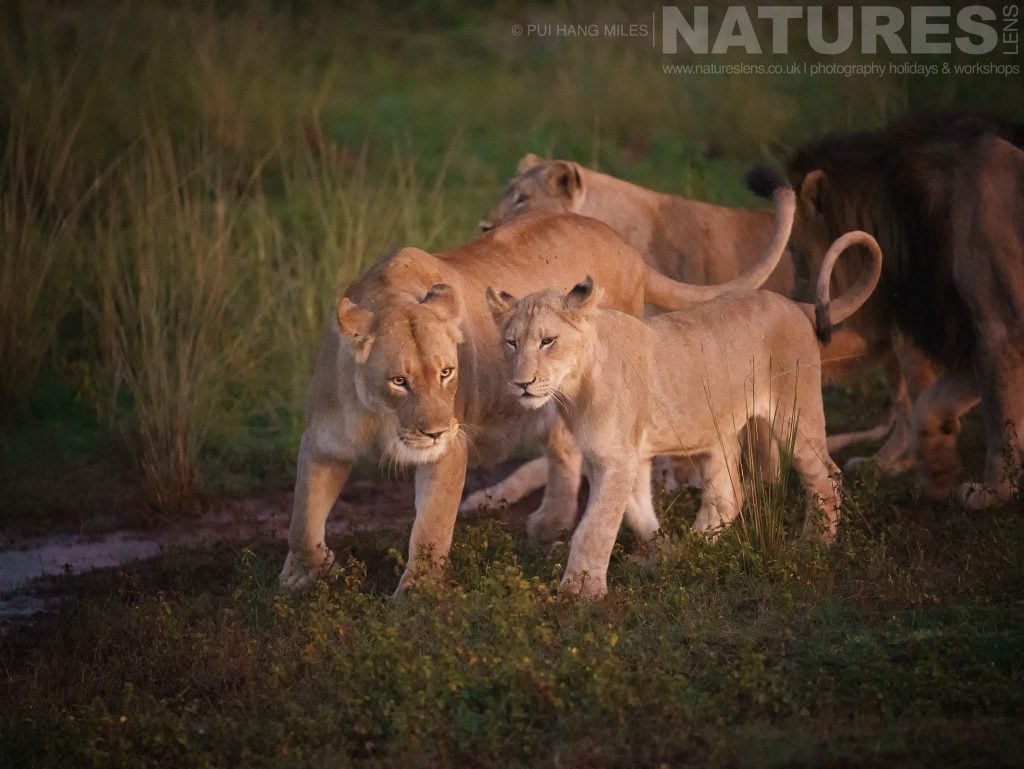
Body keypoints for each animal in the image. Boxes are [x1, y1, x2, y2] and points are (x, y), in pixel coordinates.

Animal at [279, 175, 795, 593]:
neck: (380, 416)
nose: (434, 431)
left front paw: (416, 596)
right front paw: (306, 573)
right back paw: (554, 524)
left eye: (447, 372)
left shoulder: (449, 453)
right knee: (565, 448)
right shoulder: (322, 443)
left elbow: (430, 530)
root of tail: (624, 245)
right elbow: (303, 518)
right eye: (399, 380)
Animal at [485, 229, 883, 598]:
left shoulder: (618, 459)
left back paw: (813, 547)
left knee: (825, 476)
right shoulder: (620, 456)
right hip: (720, 429)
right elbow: (637, 513)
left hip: (794, 414)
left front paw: (580, 592)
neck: (574, 386)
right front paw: (662, 554)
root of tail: (795, 304)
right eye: (511, 343)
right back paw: (697, 549)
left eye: (547, 341)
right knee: (729, 494)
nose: (521, 384)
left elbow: (594, 526)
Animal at [759, 110, 1024, 508]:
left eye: (796, 251)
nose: (796, 311)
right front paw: (939, 466)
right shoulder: (966, 331)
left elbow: (1001, 419)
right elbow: (931, 404)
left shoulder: (1000, 325)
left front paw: (994, 491)